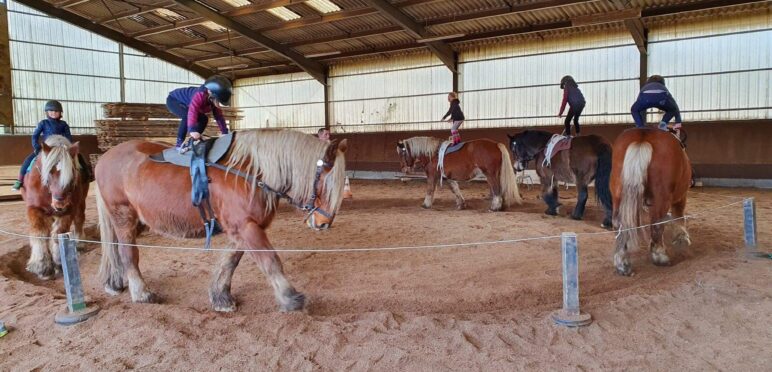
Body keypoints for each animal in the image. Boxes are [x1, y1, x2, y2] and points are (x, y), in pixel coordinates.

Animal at [19, 136, 89, 280]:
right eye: (50, 171)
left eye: (72, 172)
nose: (59, 203)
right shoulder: (34, 209)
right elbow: (39, 235)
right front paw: (41, 266)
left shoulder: (68, 211)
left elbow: (58, 235)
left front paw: (59, 263)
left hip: (80, 203)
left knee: (79, 219)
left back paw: (79, 243)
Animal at [95, 129, 348, 312]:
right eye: (326, 183)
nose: (324, 223)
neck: (250, 173)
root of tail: (104, 158)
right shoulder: (246, 227)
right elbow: (270, 261)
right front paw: (290, 298)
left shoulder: (242, 229)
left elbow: (230, 261)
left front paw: (221, 297)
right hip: (123, 215)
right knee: (128, 252)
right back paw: (141, 293)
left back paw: (114, 282)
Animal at [612, 128, 692, 276]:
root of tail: (643, 136)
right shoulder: (681, 196)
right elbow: (678, 215)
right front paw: (681, 238)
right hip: (662, 197)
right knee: (657, 223)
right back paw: (660, 256)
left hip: (617, 193)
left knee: (618, 224)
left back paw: (622, 263)